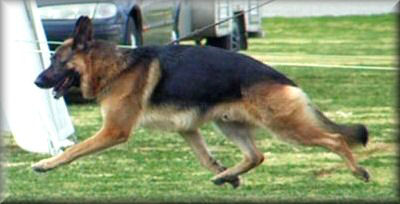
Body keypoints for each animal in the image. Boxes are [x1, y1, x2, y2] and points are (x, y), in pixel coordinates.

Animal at [32, 16, 370, 188]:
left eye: (56, 61)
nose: (36, 81)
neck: (116, 67)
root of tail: (284, 79)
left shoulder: (114, 131)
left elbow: (73, 150)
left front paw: (46, 164)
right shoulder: (188, 128)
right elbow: (204, 157)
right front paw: (222, 170)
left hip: (285, 126)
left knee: (336, 139)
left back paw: (358, 172)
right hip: (230, 126)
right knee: (256, 155)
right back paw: (226, 175)